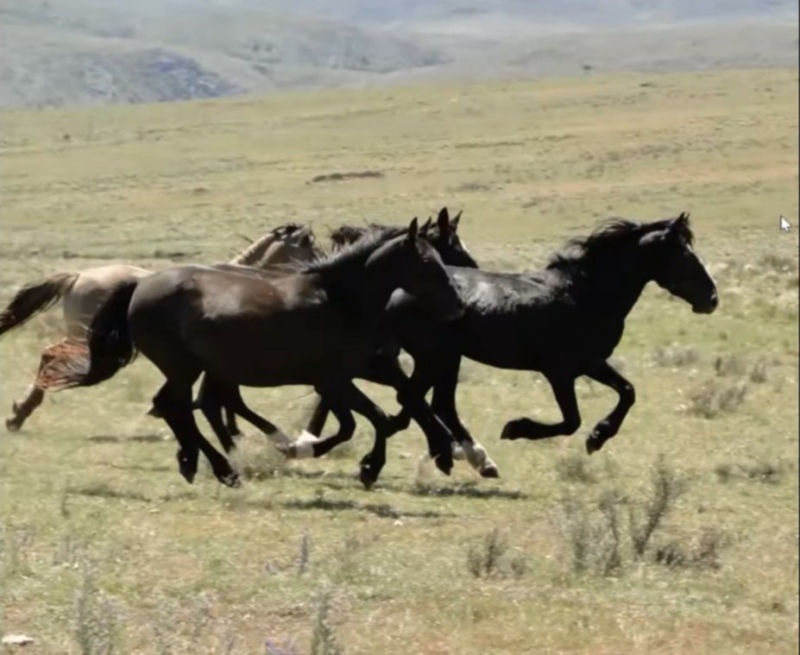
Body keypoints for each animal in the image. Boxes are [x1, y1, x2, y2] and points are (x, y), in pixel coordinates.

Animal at [0, 223, 318, 434]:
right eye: (307, 244)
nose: (318, 265)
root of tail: (77, 276)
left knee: (51, 356)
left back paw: (19, 412)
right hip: (82, 338)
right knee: (50, 354)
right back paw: (19, 414)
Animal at [43, 219, 466, 486]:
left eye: (440, 256)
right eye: (426, 261)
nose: (459, 304)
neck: (341, 301)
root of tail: (140, 286)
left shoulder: (363, 369)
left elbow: (400, 406)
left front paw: (447, 451)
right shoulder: (333, 378)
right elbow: (374, 418)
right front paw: (362, 466)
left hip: (194, 368)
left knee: (184, 407)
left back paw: (199, 461)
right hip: (181, 366)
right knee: (177, 406)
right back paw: (221, 468)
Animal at [306, 213, 720, 484]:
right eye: (684, 255)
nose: (712, 299)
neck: (585, 293)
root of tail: (395, 291)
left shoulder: (591, 362)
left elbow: (628, 392)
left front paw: (599, 437)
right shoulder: (560, 370)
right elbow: (571, 420)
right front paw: (517, 428)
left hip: (440, 358)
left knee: (422, 402)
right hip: (436, 356)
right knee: (417, 400)